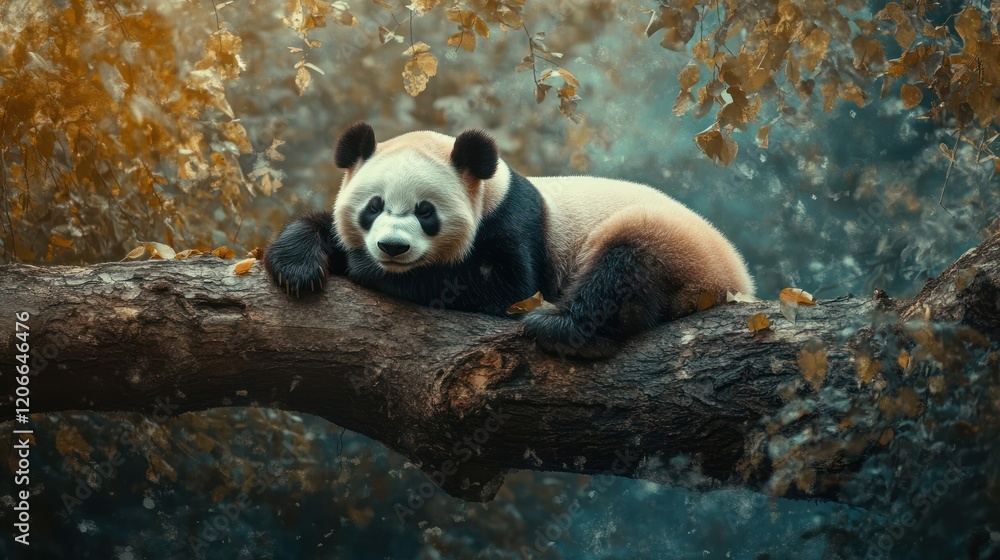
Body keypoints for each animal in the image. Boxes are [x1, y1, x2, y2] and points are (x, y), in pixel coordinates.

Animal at [264, 122, 754, 358]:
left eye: (425, 212)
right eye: (373, 206)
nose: (392, 248)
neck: (489, 190)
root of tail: (739, 281)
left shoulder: (514, 223)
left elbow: (505, 287)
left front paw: (362, 267)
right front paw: (297, 266)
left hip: (672, 243)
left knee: (625, 270)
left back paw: (560, 329)